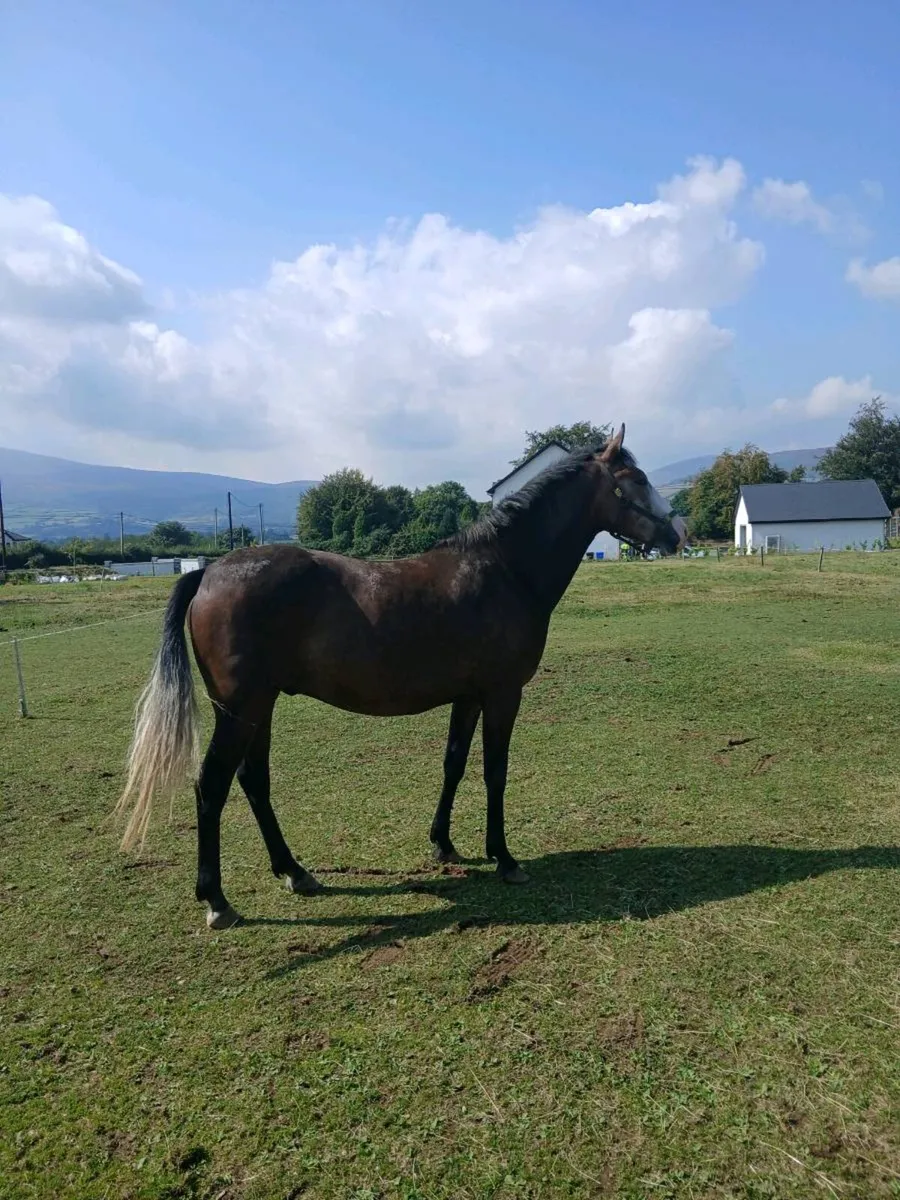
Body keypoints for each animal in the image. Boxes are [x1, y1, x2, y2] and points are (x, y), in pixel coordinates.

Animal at [115, 425, 687, 929]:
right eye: (635, 478)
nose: (679, 533)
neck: (505, 570)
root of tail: (208, 572)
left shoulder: (468, 696)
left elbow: (454, 764)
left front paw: (444, 844)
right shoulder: (503, 694)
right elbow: (494, 772)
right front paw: (504, 858)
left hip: (260, 707)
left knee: (254, 781)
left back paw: (295, 872)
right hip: (241, 710)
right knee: (211, 786)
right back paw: (217, 900)